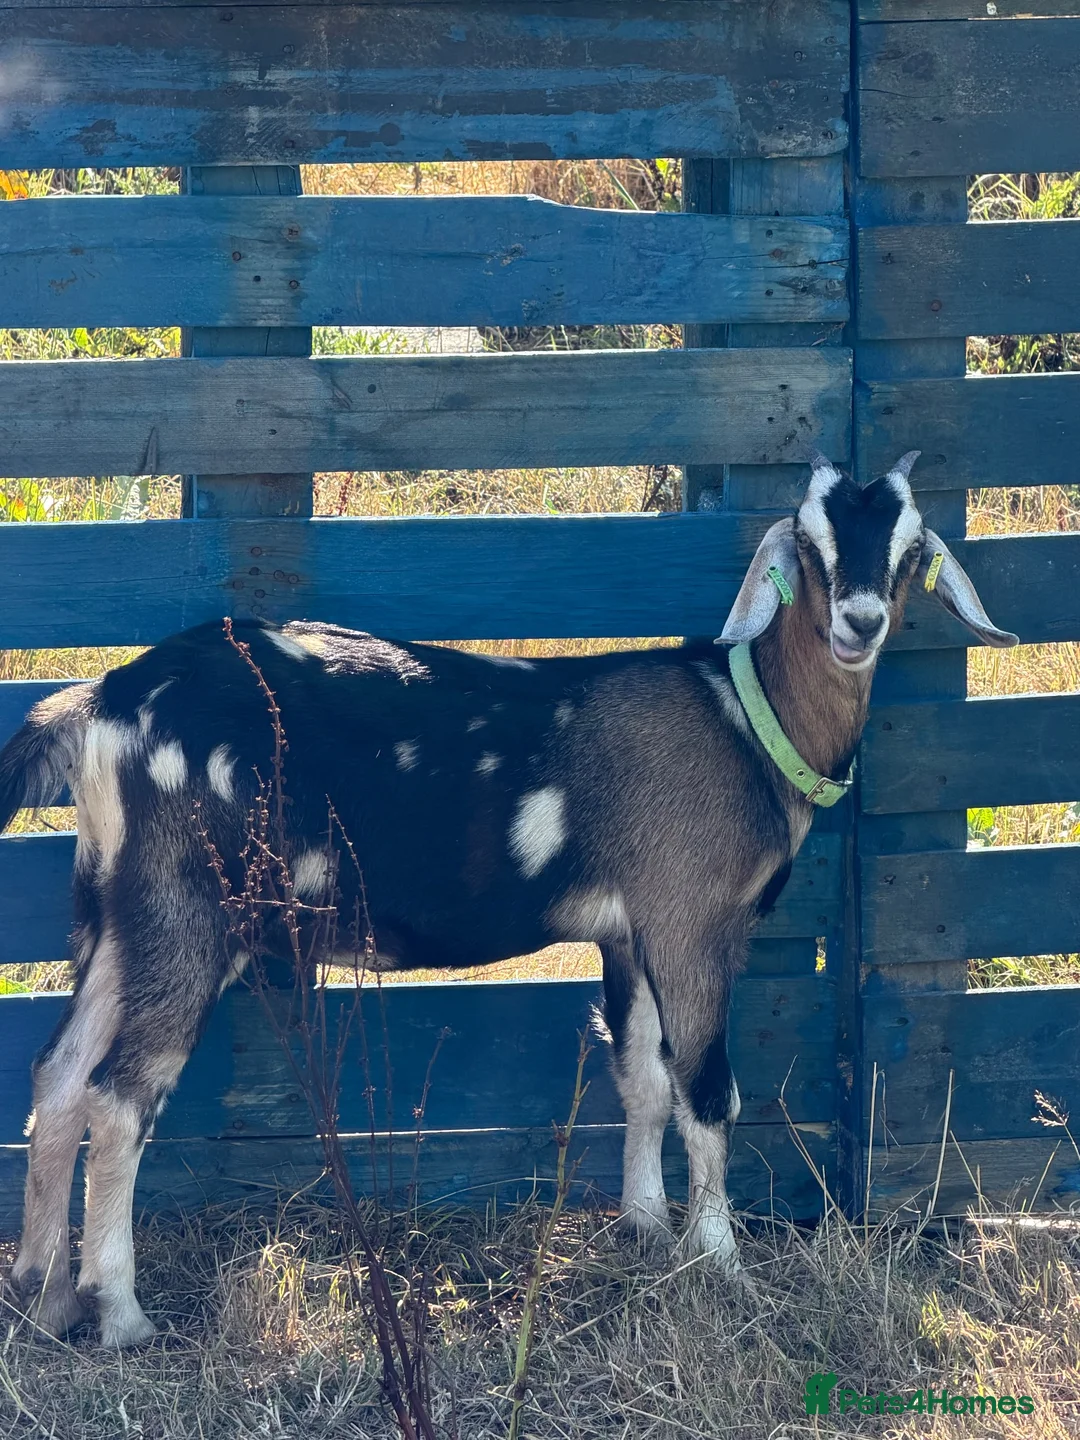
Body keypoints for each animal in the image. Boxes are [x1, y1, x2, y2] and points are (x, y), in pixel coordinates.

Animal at [0, 453, 1017, 1346]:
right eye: (808, 543)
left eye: (911, 547)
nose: (860, 621)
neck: (744, 720)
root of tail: (103, 704)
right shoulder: (691, 921)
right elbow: (706, 1093)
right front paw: (721, 1263)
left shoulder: (630, 933)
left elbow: (642, 1078)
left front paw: (646, 1228)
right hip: (187, 910)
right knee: (120, 1098)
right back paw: (120, 1314)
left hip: (117, 911)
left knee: (59, 1074)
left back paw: (43, 1296)